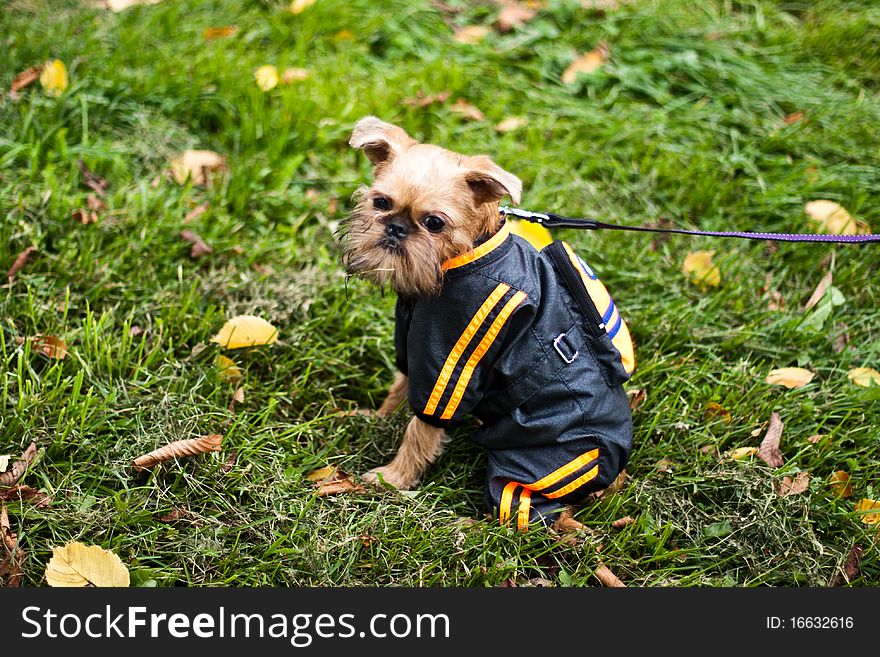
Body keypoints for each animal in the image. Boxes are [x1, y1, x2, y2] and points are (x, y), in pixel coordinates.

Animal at [340, 116, 636, 528]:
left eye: (434, 223)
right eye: (380, 202)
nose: (396, 227)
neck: (461, 259)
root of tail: (614, 472)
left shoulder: (449, 364)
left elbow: (421, 428)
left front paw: (393, 479)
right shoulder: (414, 346)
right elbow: (399, 386)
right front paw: (378, 418)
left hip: (539, 466)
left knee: (527, 517)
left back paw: (466, 526)